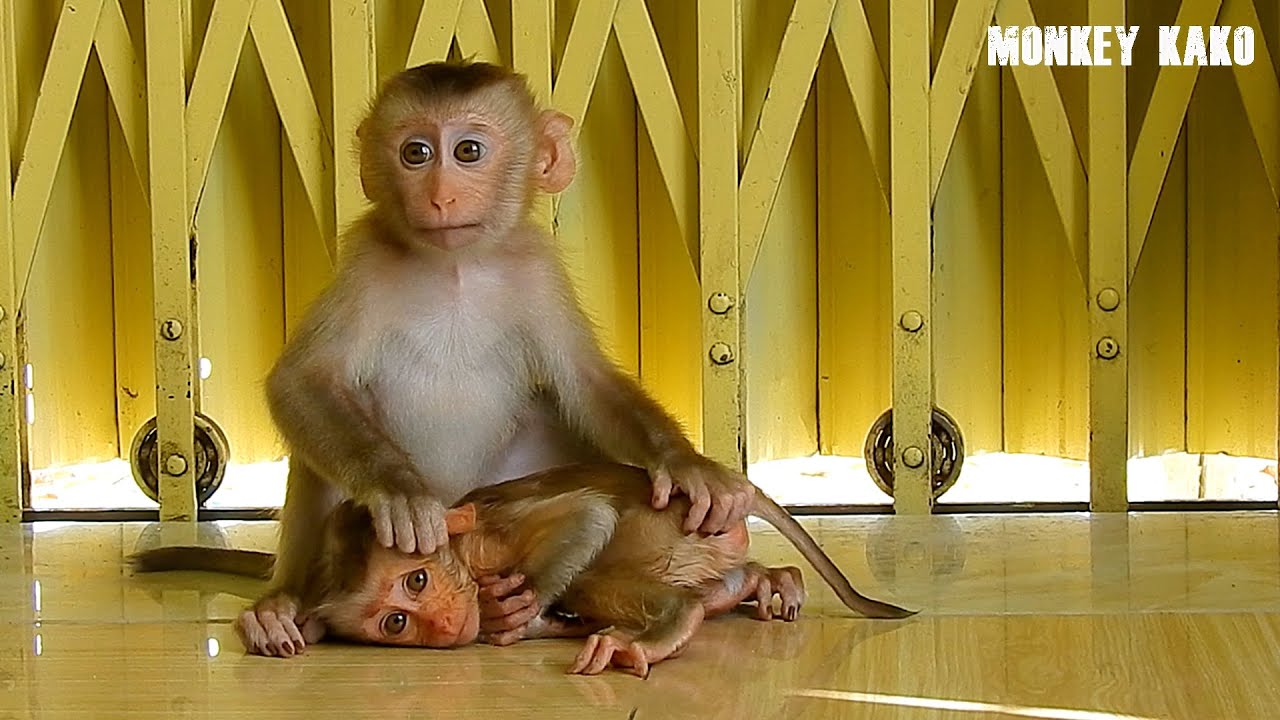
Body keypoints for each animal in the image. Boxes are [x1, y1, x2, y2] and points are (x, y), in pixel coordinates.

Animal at [132, 462, 916, 676]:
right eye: (397, 621)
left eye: (417, 580)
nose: (440, 622)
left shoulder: (492, 541)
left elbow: (587, 518)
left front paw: (524, 608)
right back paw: (759, 585)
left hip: (676, 536)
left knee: (619, 567)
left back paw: (669, 622)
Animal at [250, 60, 756, 647]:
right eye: (415, 153)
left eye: (468, 151)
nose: (440, 196)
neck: (455, 266)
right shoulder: (364, 260)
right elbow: (302, 378)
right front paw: (398, 491)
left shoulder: (538, 267)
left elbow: (586, 382)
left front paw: (686, 465)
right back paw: (282, 606)